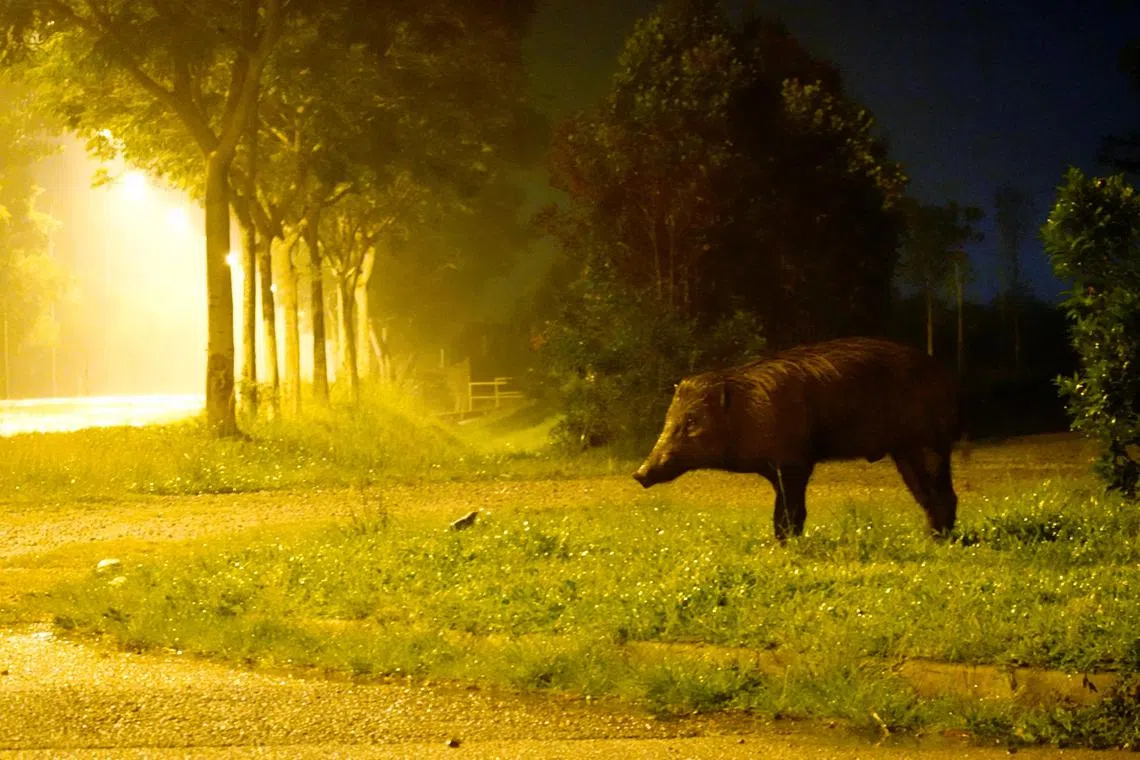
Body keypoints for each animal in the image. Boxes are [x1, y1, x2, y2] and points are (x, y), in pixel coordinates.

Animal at [633, 337, 961, 541]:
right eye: (668, 420)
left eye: (690, 422)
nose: (639, 474)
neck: (747, 412)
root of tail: (948, 377)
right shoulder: (774, 469)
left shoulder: (794, 463)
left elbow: (791, 512)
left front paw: (786, 544)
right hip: (903, 452)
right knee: (926, 495)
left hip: (930, 443)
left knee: (944, 494)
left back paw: (938, 541)